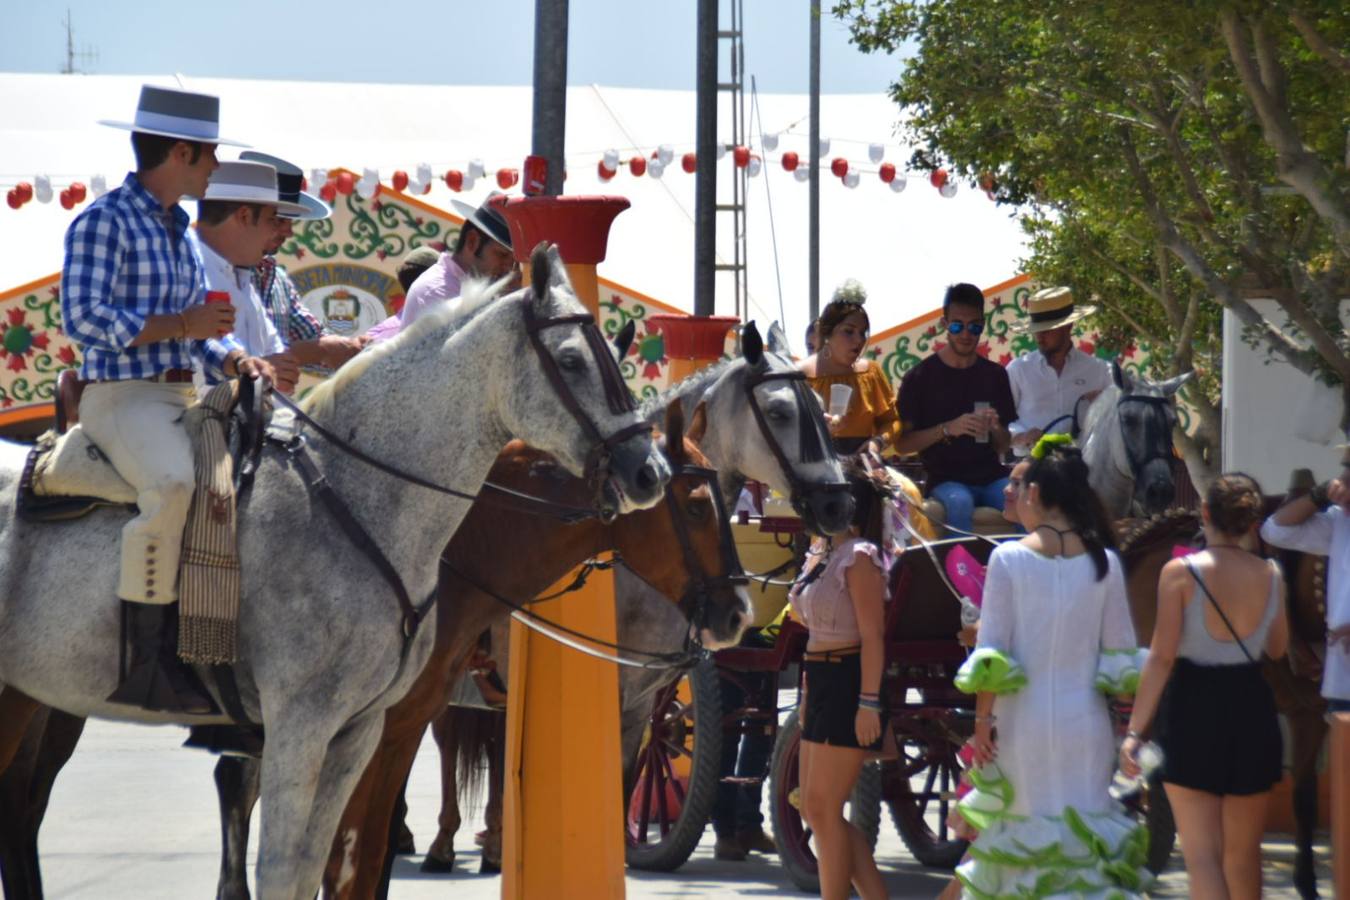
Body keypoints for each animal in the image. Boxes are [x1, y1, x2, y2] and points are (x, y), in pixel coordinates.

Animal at [0, 246, 669, 900]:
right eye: (570, 359)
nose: (649, 471)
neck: (352, 496)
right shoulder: (299, 726)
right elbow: (283, 868)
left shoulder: (360, 731)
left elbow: (324, 868)